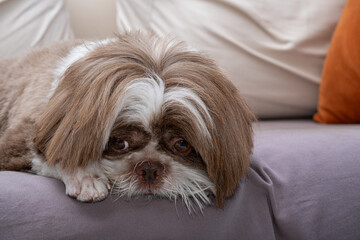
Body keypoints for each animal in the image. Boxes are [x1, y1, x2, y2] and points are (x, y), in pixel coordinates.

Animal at [0, 32, 253, 212]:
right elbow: (51, 155)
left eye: (182, 144)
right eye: (119, 143)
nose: (149, 167)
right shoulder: (17, 142)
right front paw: (85, 176)